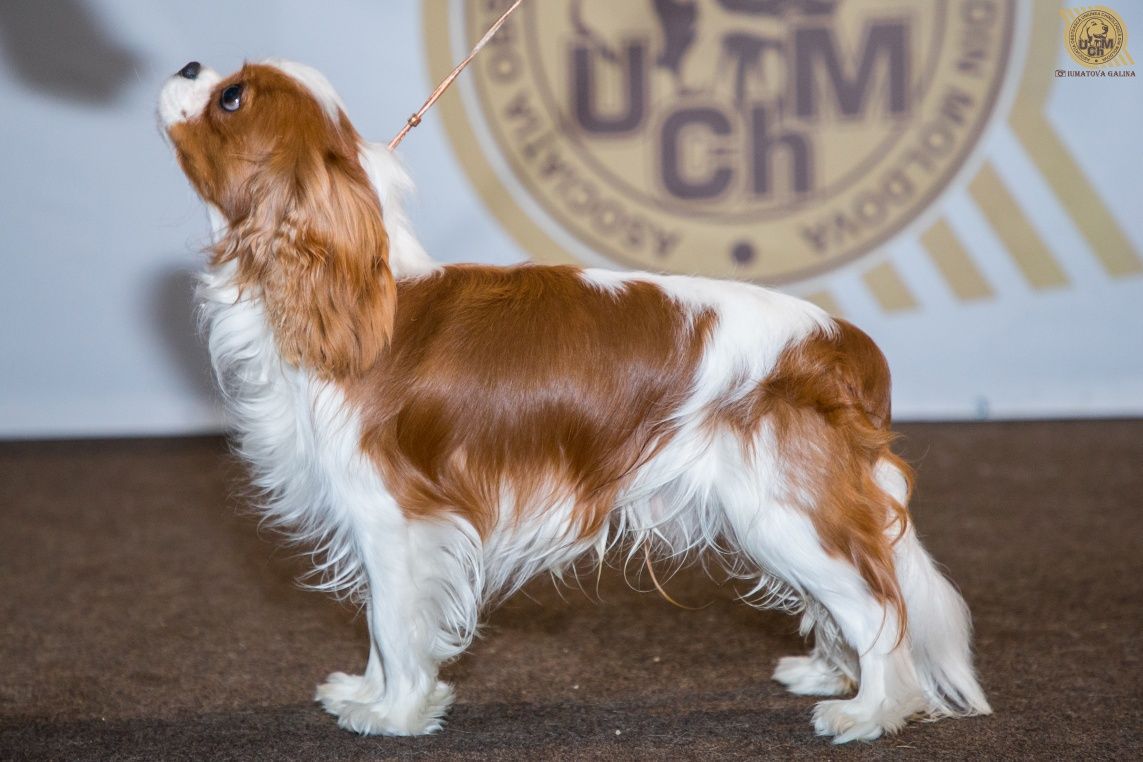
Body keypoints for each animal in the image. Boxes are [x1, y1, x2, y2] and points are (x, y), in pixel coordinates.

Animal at [156, 61, 987, 744]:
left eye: (231, 98)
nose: (189, 65)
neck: (360, 294)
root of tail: (842, 343)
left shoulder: (395, 514)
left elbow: (391, 622)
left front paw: (392, 714)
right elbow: (378, 629)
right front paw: (367, 693)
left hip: (781, 511)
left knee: (878, 604)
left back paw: (869, 711)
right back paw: (829, 674)